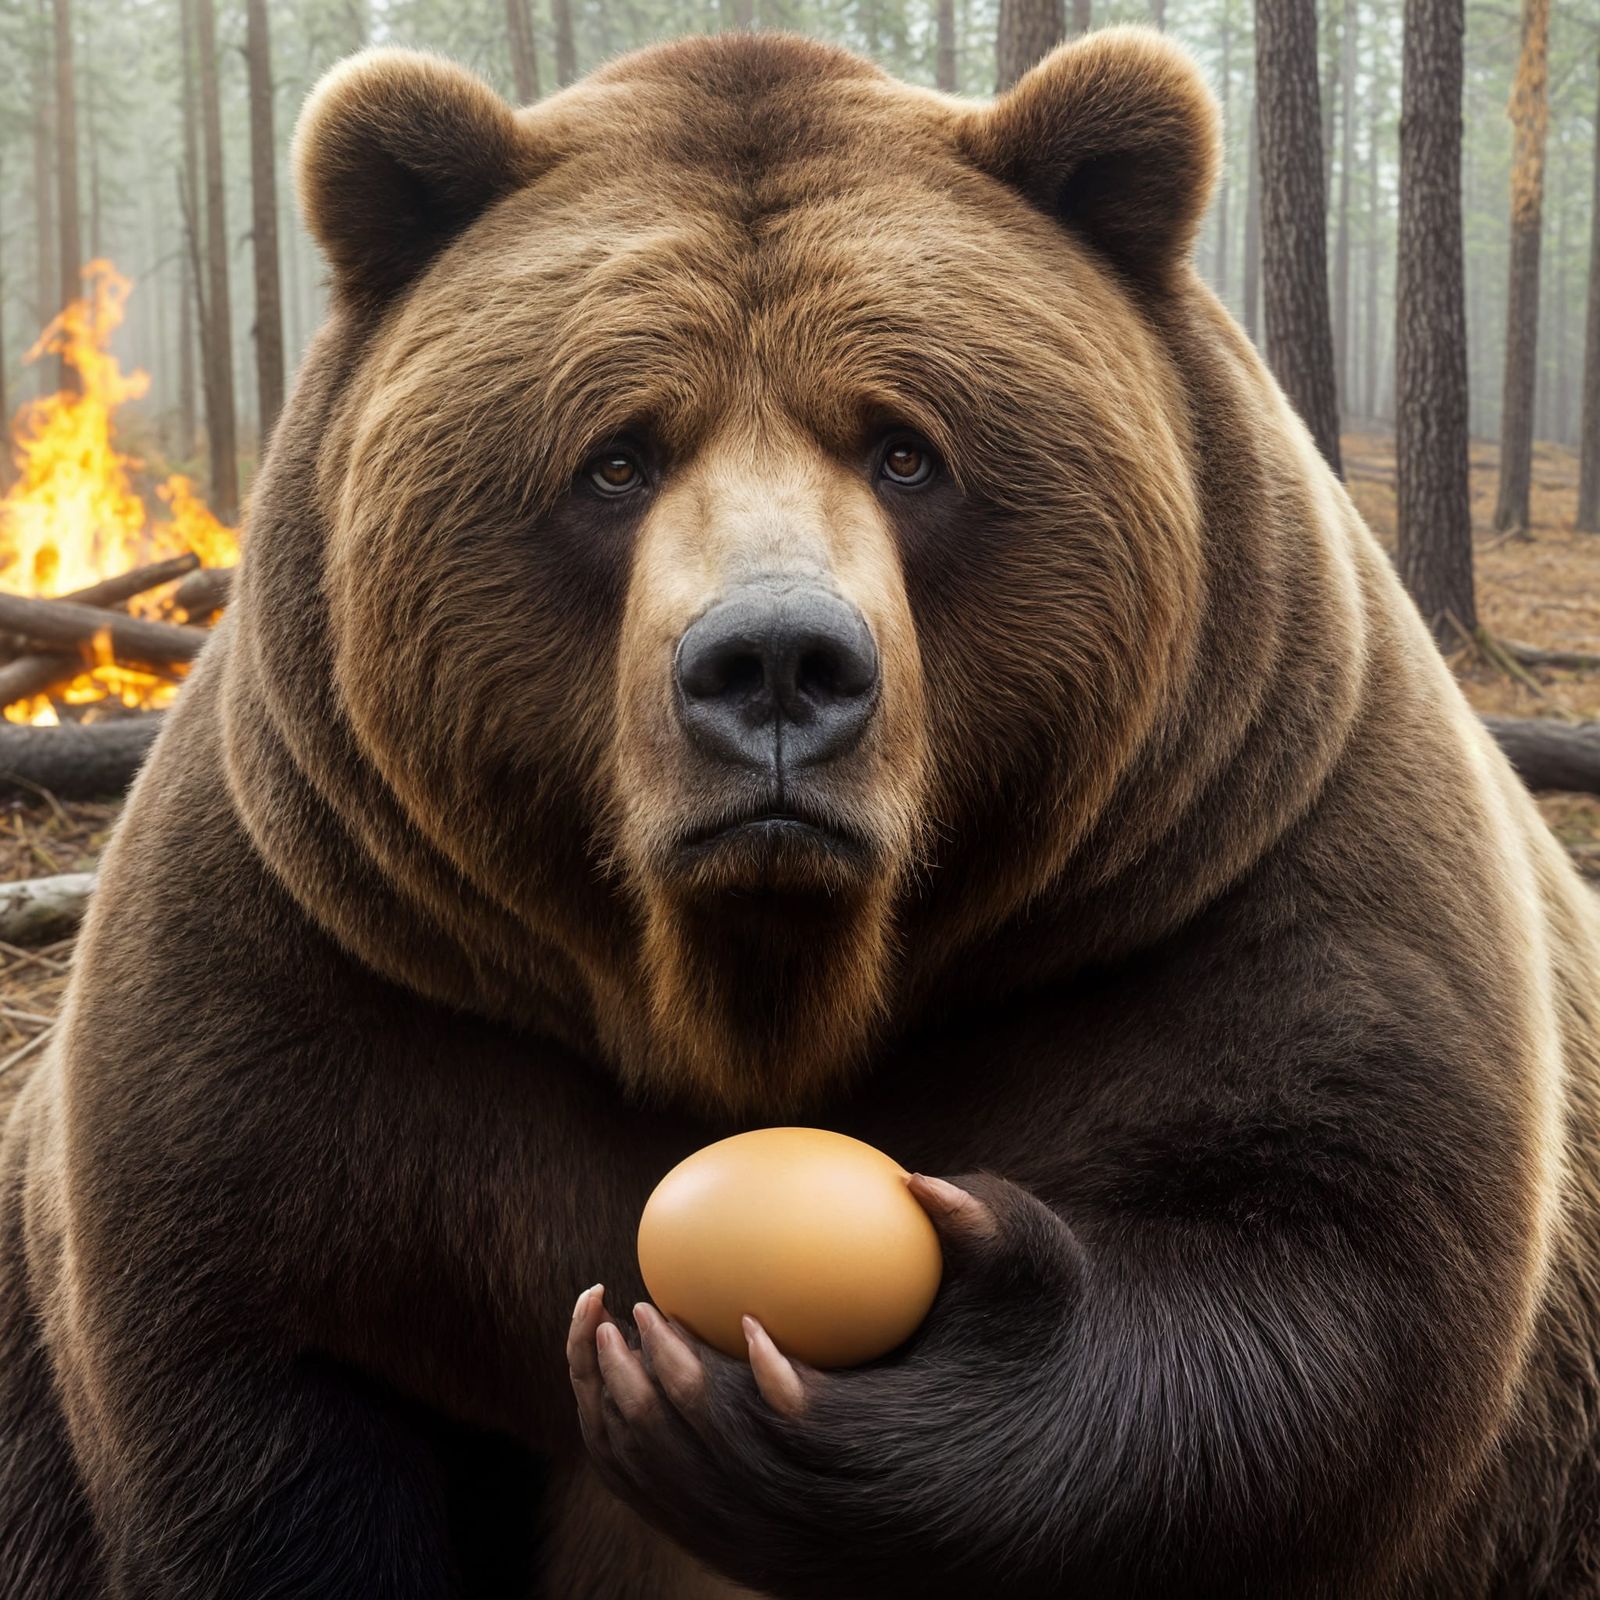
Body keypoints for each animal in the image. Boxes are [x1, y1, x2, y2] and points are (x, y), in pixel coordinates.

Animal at [3, 22, 1599, 1598]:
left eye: (904, 447)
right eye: (617, 455)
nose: (775, 662)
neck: (750, 1000)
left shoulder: (1229, 865)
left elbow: (1332, 1281)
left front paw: (792, 1394)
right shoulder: (346, 968)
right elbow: (257, 1366)